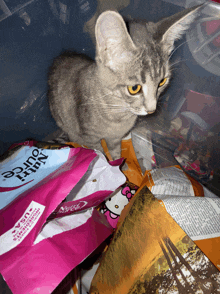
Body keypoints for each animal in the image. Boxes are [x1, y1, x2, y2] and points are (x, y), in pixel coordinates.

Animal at [48, 4, 203, 160]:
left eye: (161, 82)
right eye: (134, 88)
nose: (152, 109)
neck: (118, 114)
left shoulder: (116, 139)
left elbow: (116, 152)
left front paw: (119, 162)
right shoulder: (90, 138)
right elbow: (100, 154)